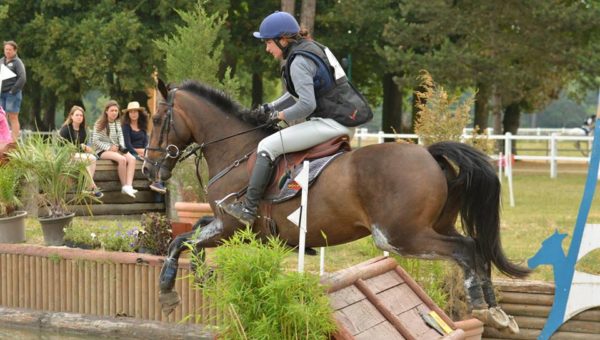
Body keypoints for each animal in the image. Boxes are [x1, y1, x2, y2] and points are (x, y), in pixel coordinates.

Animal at [142, 78, 528, 330]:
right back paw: (497, 312)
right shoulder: (224, 224)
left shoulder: (234, 225)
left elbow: (183, 241)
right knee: (476, 247)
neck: (236, 150)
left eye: (157, 120)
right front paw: (193, 281)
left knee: (464, 249)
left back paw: (482, 308)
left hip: (400, 236)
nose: (147, 169)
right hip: (434, 226)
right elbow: (187, 235)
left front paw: (169, 293)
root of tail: (429, 154)